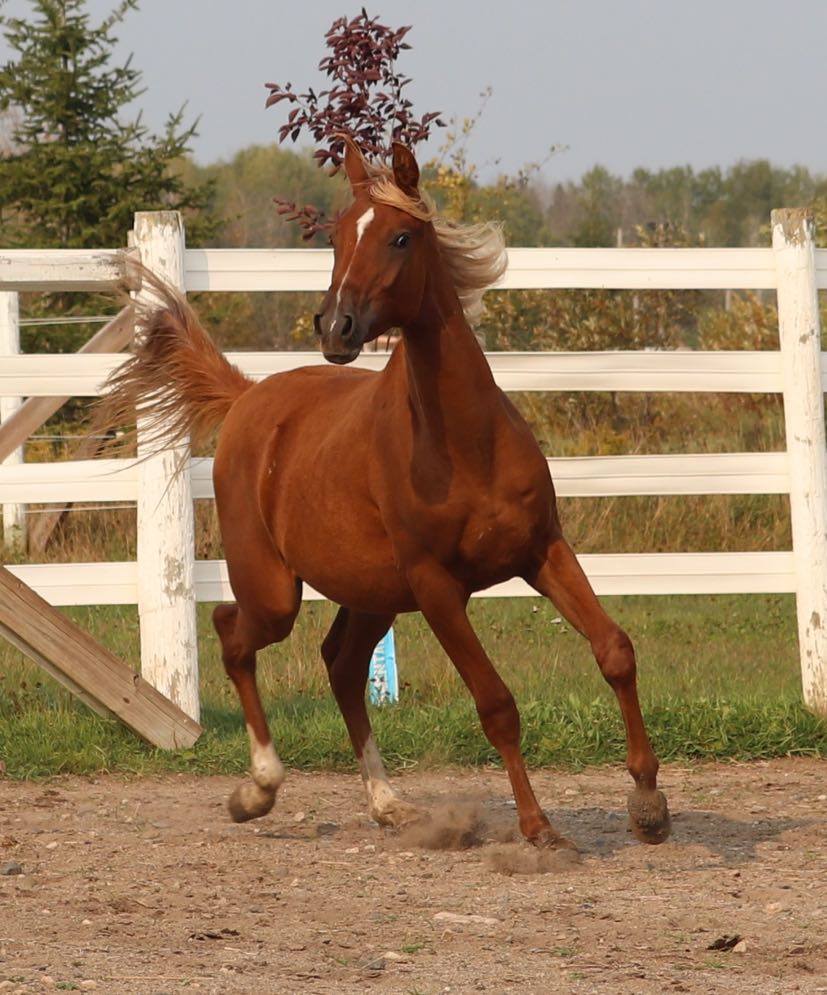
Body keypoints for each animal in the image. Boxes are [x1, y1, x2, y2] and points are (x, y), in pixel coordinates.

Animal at [105, 140, 672, 852]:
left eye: (402, 237)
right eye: (338, 236)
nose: (335, 327)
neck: (464, 445)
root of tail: (247, 396)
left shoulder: (542, 550)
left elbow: (615, 651)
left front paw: (649, 805)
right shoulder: (436, 587)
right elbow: (496, 703)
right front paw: (539, 828)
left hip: (374, 593)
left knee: (341, 665)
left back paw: (388, 804)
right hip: (276, 591)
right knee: (233, 634)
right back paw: (258, 789)